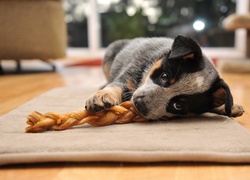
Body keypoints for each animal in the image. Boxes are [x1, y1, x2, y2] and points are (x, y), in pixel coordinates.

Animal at [86, 35, 244, 119]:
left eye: (178, 105)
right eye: (164, 76)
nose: (139, 103)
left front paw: (229, 107)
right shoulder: (128, 75)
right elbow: (115, 85)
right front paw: (102, 95)